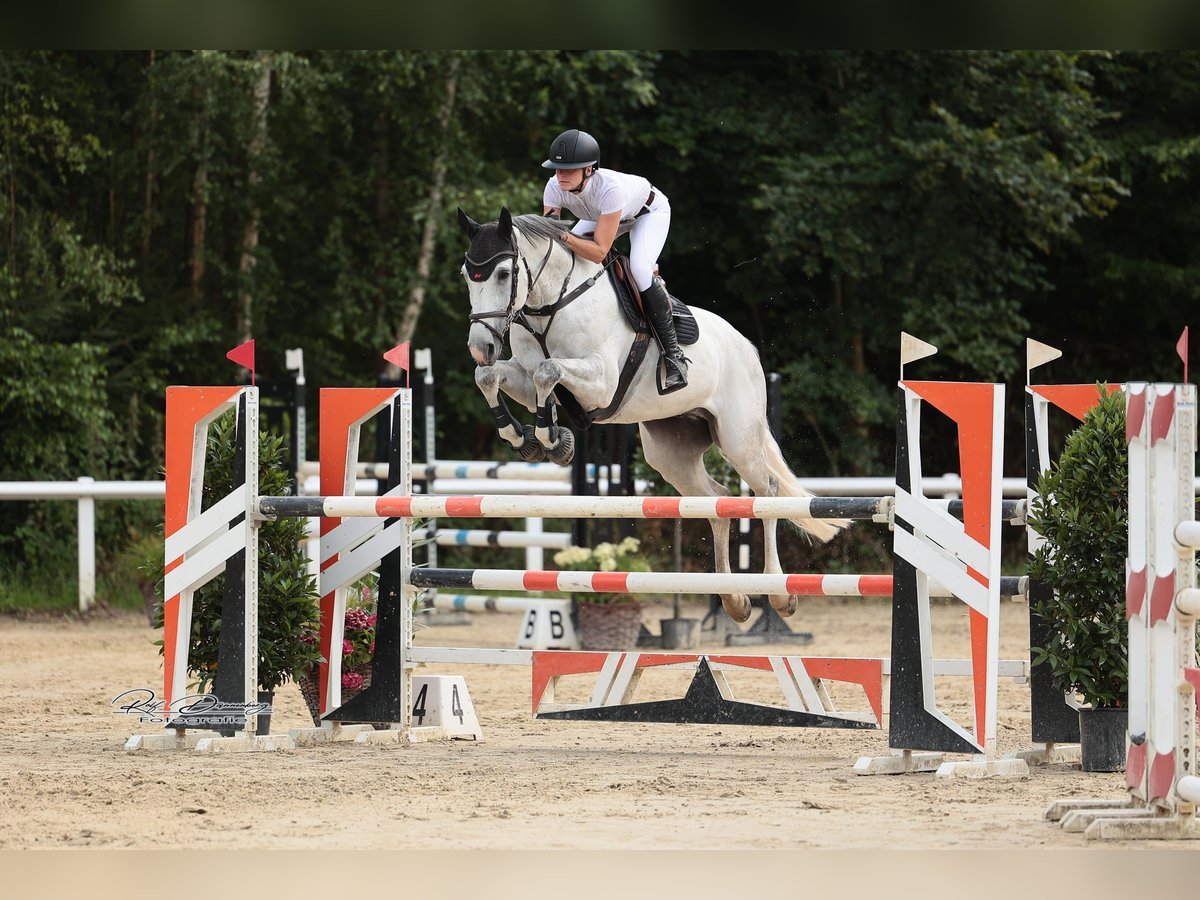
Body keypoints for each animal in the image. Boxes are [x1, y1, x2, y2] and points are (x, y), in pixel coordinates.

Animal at [456, 207, 844, 624]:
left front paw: (552, 440)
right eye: (466, 275)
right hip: (671, 453)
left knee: (766, 492)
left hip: (739, 439)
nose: (480, 347)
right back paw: (734, 599)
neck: (551, 304)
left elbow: (549, 370)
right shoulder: (527, 382)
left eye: (503, 274)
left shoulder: (601, 382)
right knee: (718, 502)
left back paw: (777, 593)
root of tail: (747, 347)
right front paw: (528, 438)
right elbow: (492, 377)